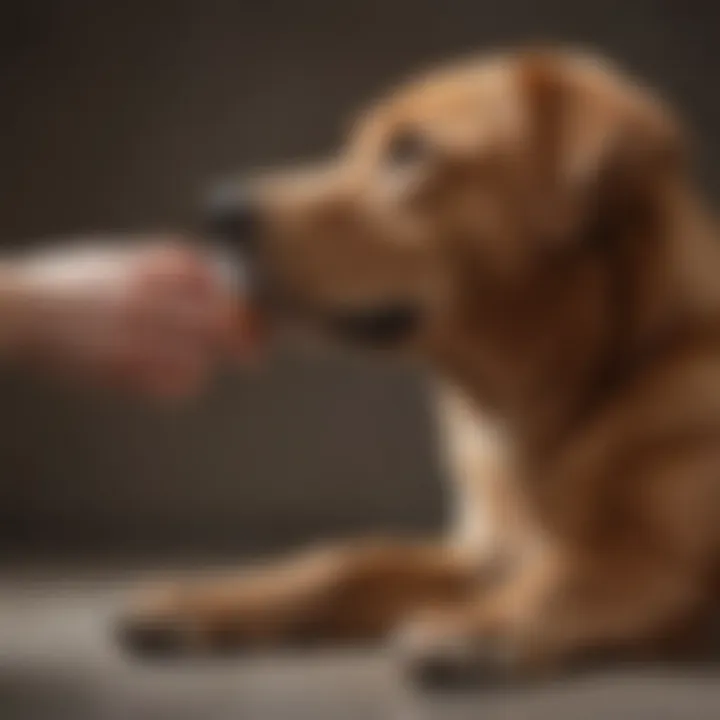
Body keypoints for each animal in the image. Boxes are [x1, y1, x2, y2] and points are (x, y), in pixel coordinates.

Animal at [119, 49, 720, 680]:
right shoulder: (481, 553)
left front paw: (481, 624)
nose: (218, 211)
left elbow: (568, 571)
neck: (533, 406)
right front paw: (209, 598)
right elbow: (345, 561)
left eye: (410, 150)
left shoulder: (661, 560)